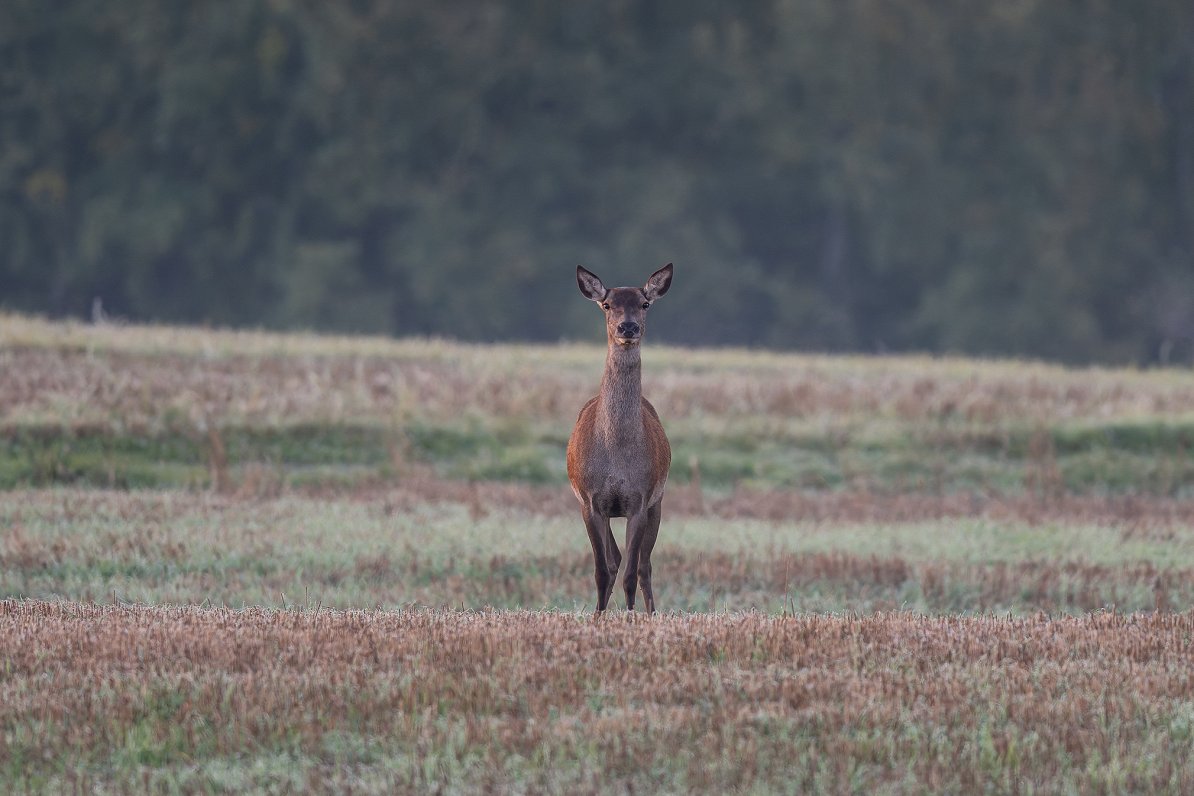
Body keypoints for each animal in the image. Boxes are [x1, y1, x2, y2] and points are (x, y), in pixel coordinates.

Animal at [565, 264, 673, 615]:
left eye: (645, 303)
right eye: (607, 304)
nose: (628, 327)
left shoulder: (639, 500)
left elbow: (630, 572)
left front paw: (630, 617)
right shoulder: (590, 501)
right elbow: (603, 569)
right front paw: (598, 617)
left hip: (658, 502)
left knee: (643, 566)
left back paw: (651, 613)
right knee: (615, 559)